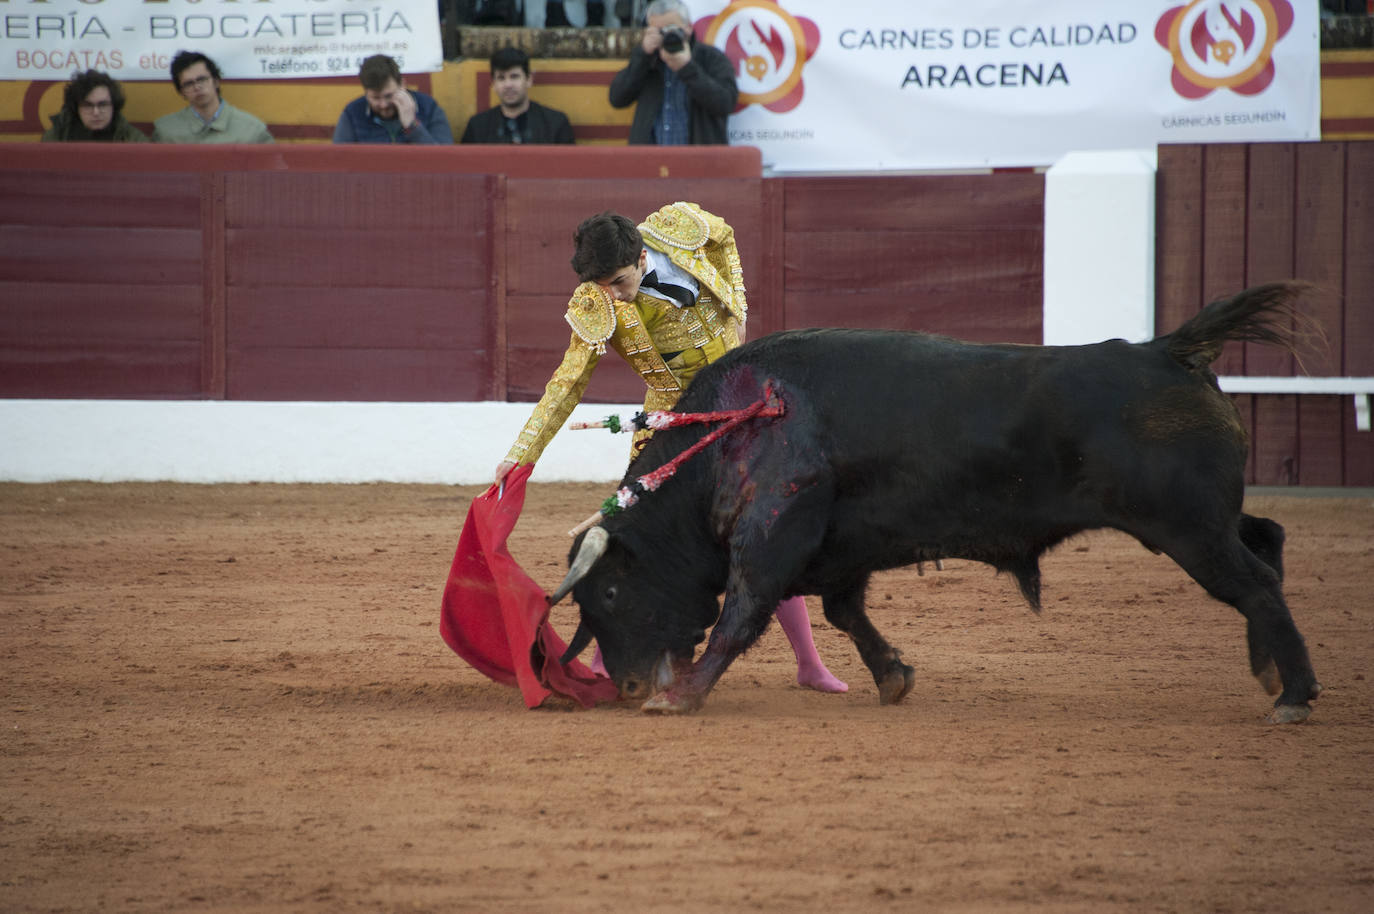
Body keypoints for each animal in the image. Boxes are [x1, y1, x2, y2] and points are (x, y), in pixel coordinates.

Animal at [549, 281, 1319, 725]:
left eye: (609, 593)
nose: (625, 686)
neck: (735, 429)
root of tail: (1169, 350)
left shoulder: (773, 533)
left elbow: (742, 612)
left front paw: (678, 696)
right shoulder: (839, 549)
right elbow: (844, 612)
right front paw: (894, 677)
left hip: (1186, 527)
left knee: (1254, 580)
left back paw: (1294, 695)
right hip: (1205, 519)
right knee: (1268, 540)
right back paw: (1270, 671)